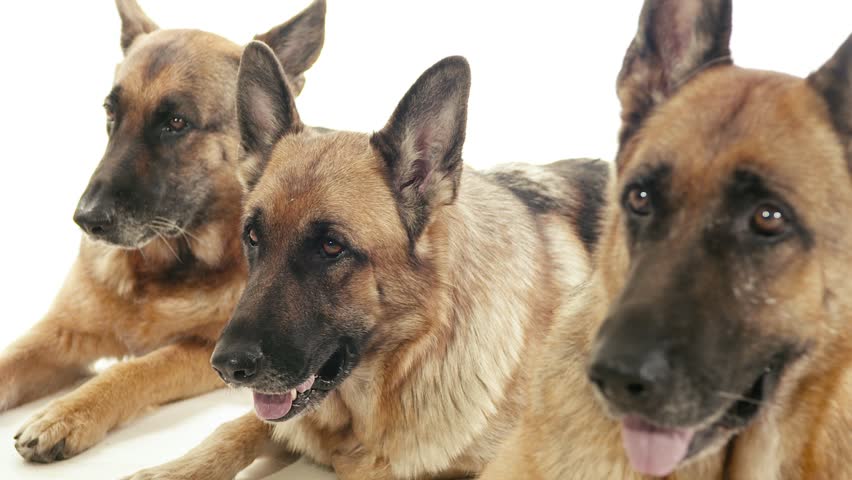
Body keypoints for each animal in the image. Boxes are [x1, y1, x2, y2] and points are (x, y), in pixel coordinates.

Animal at [0, 0, 326, 464]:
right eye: (111, 113)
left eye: (175, 122)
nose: (86, 219)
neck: (159, 273)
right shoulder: (60, 335)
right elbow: (10, 360)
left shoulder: (201, 351)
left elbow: (134, 369)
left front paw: (69, 412)